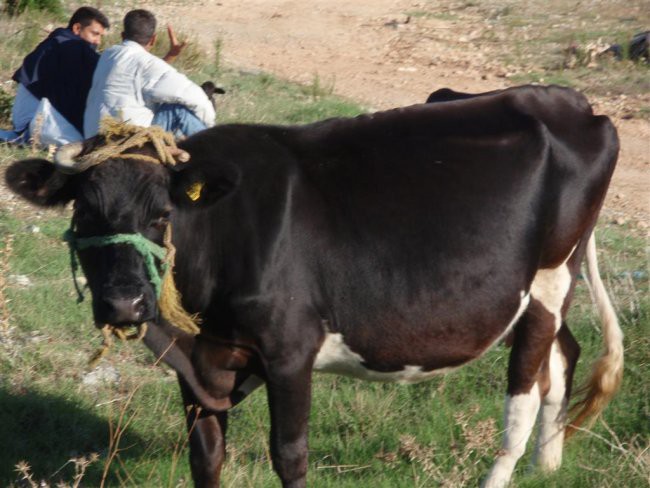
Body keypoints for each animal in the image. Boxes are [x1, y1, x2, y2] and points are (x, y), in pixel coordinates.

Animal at [6, 85, 624, 488]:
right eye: (85, 211)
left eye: (162, 215)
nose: (125, 303)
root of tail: (569, 100)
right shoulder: (202, 360)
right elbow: (206, 456)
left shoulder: (289, 349)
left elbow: (289, 455)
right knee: (562, 360)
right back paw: (550, 466)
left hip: (548, 280)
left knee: (522, 401)